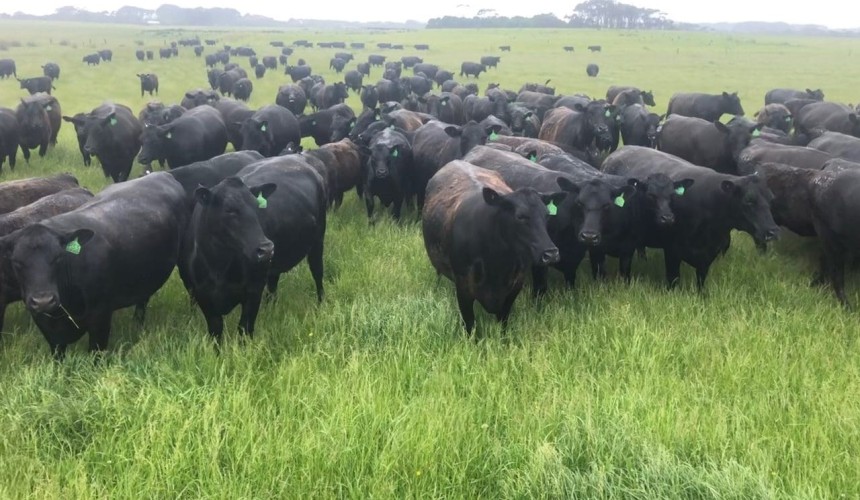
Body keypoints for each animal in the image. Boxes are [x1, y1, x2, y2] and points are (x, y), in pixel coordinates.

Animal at [2, 172, 187, 358]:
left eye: (59, 257)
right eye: (16, 262)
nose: (43, 301)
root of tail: (161, 173)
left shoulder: (101, 316)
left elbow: (96, 353)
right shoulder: (45, 325)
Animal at [421, 160, 561, 334]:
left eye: (547, 215)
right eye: (520, 216)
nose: (551, 254)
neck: (497, 262)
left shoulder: (515, 286)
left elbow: (504, 320)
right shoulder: (463, 287)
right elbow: (470, 324)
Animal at [602, 146, 780, 290]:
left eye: (771, 199)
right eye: (748, 201)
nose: (772, 231)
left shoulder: (710, 255)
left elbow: (701, 280)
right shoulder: (672, 250)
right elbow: (673, 279)